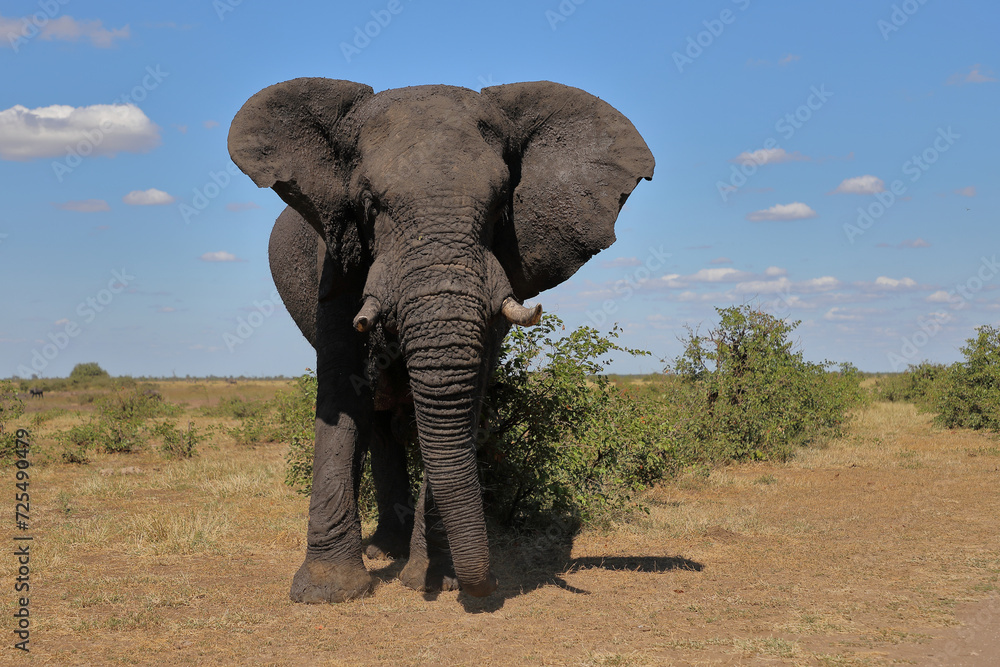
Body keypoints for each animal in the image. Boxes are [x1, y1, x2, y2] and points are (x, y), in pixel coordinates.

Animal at [228, 77, 654, 603]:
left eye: (501, 205)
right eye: (369, 204)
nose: (489, 584)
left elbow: (466, 393)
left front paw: (436, 580)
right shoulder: (335, 262)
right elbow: (344, 388)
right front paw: (327, 593)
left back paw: (392, 550)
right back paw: (378, 553)